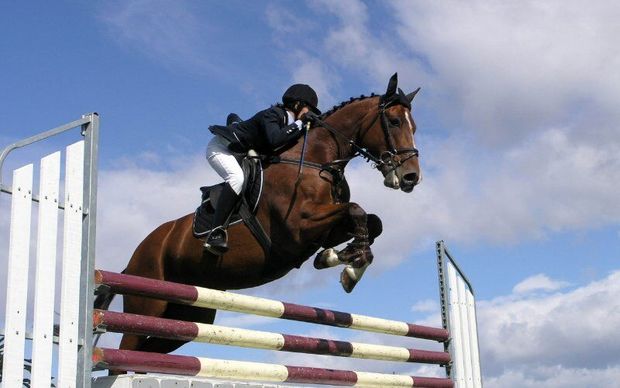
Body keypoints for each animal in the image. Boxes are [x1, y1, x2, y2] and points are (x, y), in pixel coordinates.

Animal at [97, 72, 424, 358]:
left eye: (414, 127)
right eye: (394, 121)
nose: (411, 177)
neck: (318, 161)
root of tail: (133, 259)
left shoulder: (324, 230)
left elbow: (372, 221)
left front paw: (342, 260)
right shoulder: (298, 228)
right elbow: (358, 210)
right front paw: (349, 266)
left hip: (189, 314)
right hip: (147, 302)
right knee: (125, 351)